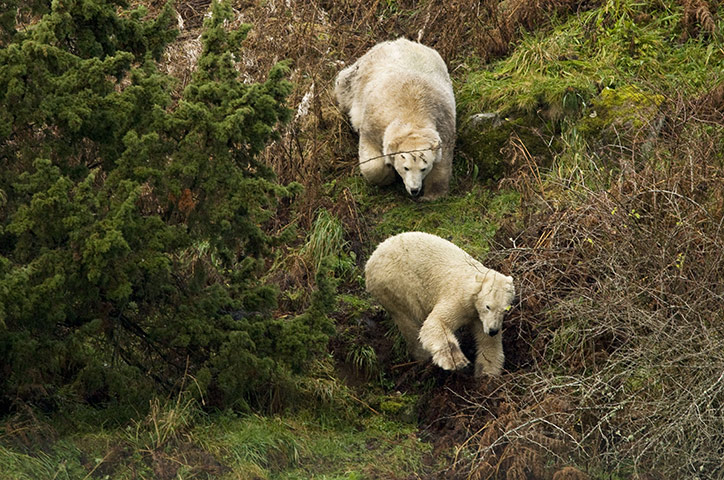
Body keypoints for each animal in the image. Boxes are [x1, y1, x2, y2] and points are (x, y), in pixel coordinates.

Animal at [336, 38, 458, 201]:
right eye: (405, 167)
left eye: (423, 168)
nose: (414, 189)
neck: (414, 112)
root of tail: (399, 41)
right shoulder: (374, 121)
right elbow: (372, 162)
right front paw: (387, 177)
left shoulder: (443, 122)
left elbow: (442, 162)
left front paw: (432, 195)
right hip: (359, 75)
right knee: (344, 85)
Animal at [368, 232, 516, 376]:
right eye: (488, 306)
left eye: (505, 310)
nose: (492, 330)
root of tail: (372, 258)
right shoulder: (459, 298)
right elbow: (436, 322)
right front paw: (457, 361)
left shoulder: (481, 318)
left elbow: (489, 343)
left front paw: (486, 375)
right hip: (397, 284)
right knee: (408, 320)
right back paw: (423, 357)